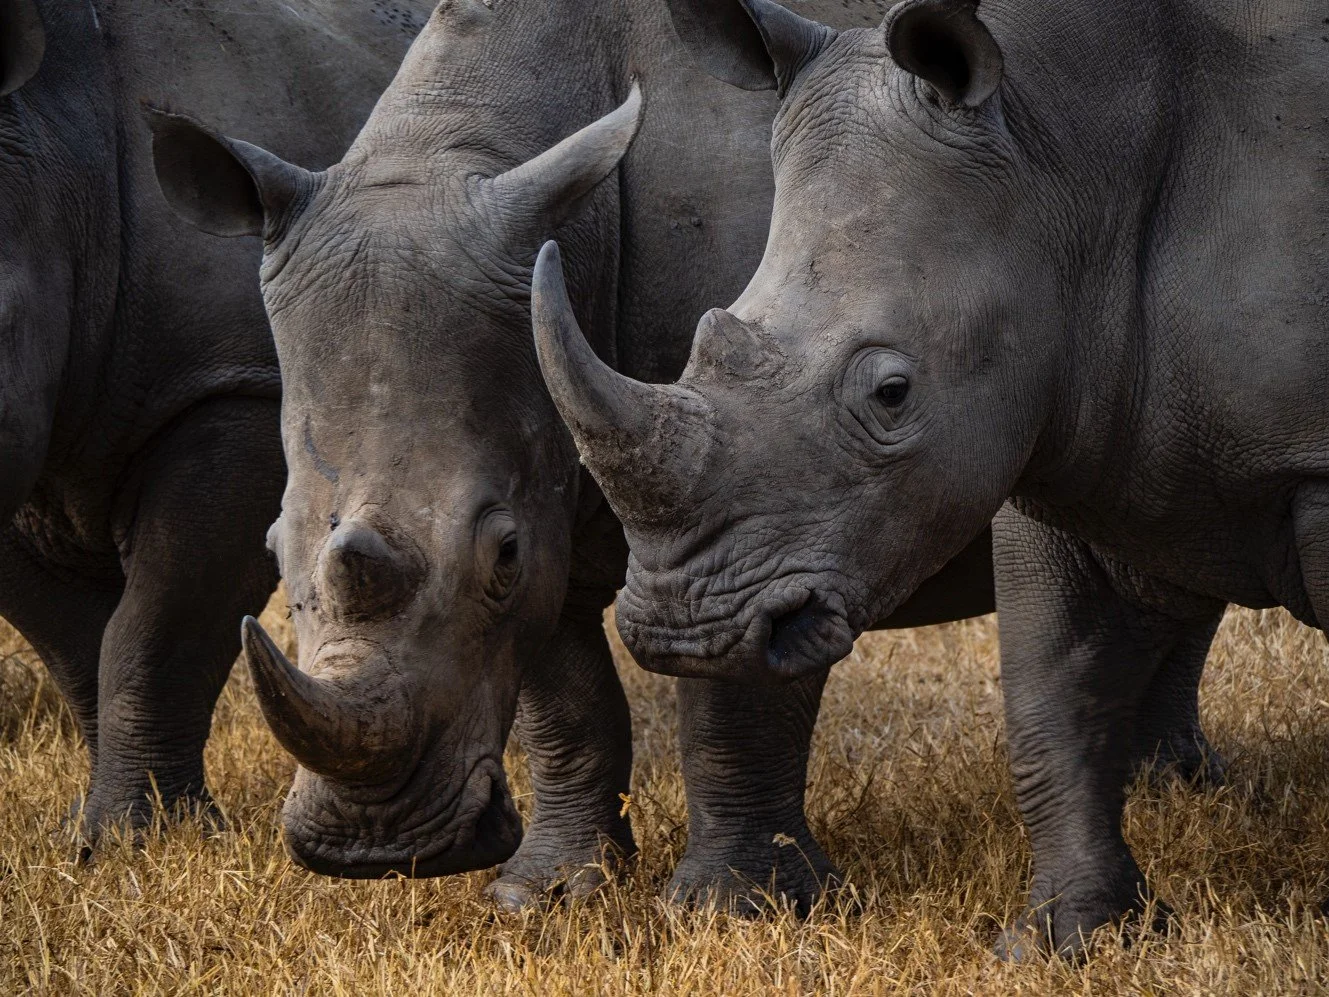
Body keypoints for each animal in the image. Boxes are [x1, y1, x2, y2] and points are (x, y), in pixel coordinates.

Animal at [147, 0, 1004, 909]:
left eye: (502, 554)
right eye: (273, 548)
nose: (371, 848)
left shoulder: (774, 500)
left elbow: (735, 688)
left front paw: (736, 908)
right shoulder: (556, 462)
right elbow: (565, 697)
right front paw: (547, 895)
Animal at [530, 0, 1323, 951]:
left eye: (891, 393)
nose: (685, 635)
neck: (1064, 153)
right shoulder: (1063, 404)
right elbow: (1051, 691)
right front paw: (1070, 939)